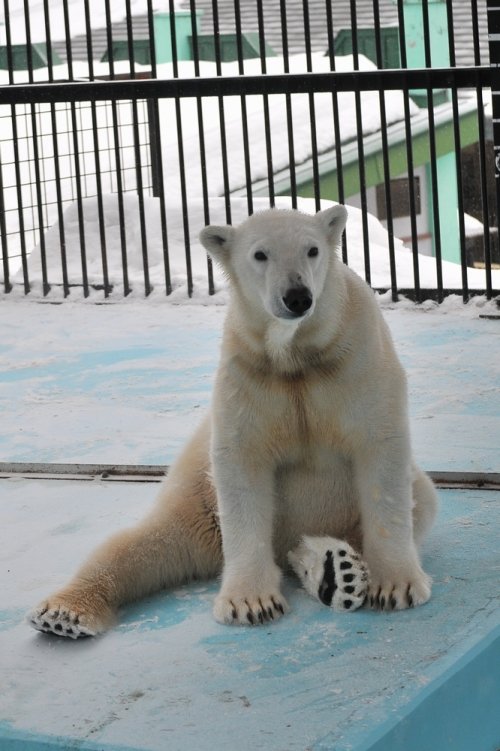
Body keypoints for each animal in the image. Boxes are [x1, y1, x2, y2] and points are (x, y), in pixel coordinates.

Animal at [30, 207, 438, 640]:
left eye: (312, 250)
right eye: (260, 254)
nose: (297, 296)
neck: (297, 356)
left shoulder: (356, 355)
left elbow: (380, 452)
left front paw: (396, 587)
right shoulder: (250, 370)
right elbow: (243, 461)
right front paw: (251, 603)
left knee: (417, 502)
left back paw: (337, 571)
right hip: (199, 505)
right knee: (140, 545)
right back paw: (63, 612)